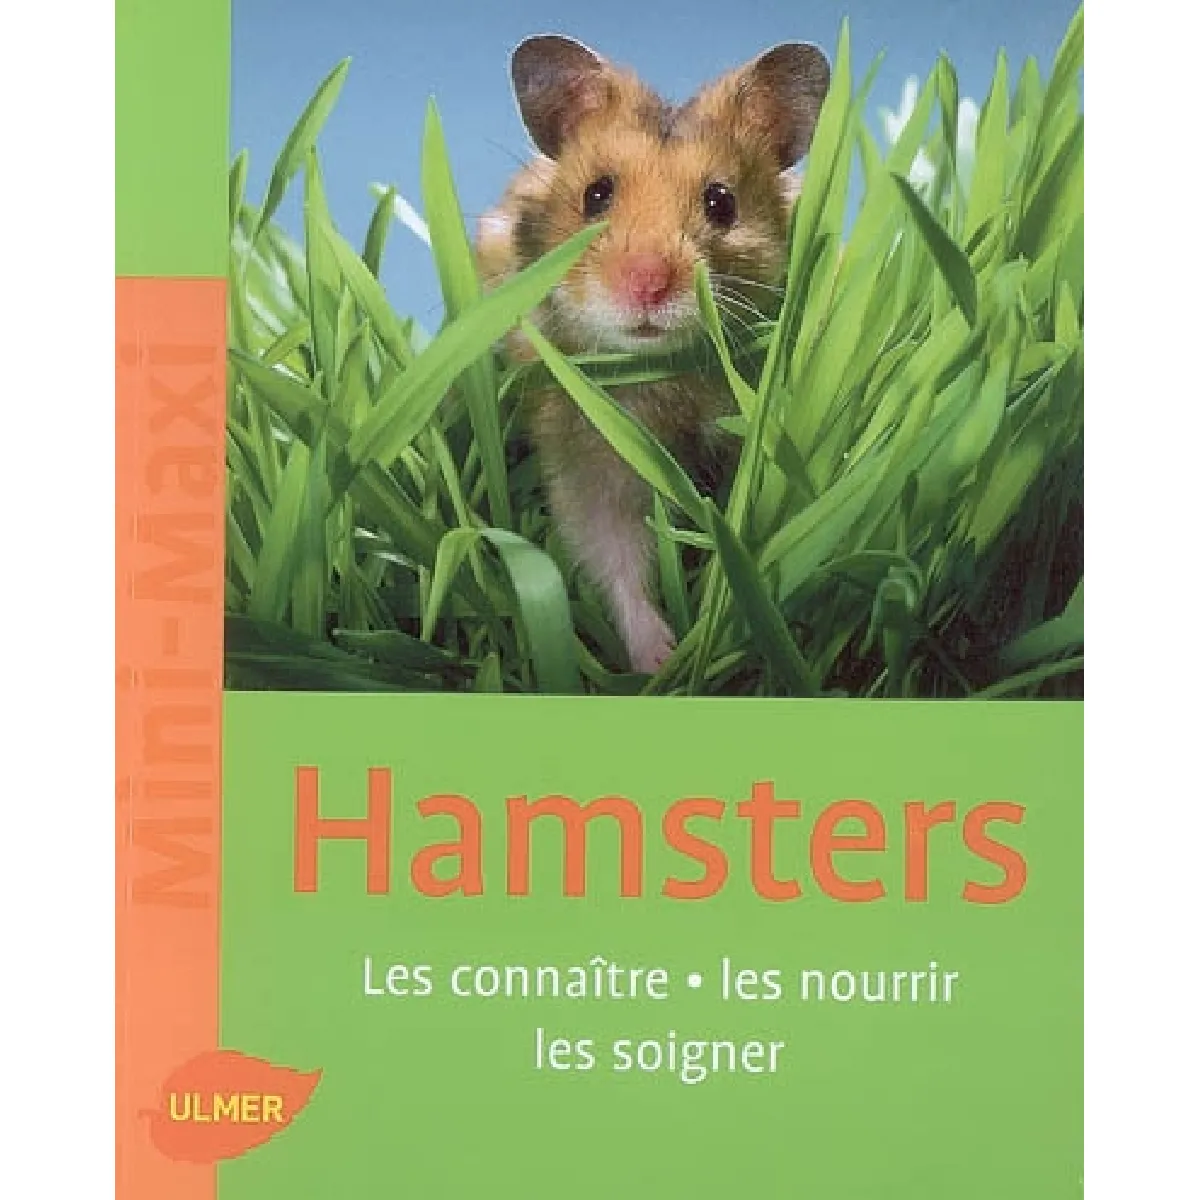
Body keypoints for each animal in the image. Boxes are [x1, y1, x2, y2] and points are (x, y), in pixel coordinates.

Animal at [477, 35, 831, 674]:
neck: (663, 376)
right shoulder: (584, 449)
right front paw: (661, 664)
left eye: (721, 202)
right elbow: (614, 554)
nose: (646, 284)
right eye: (596, 194)